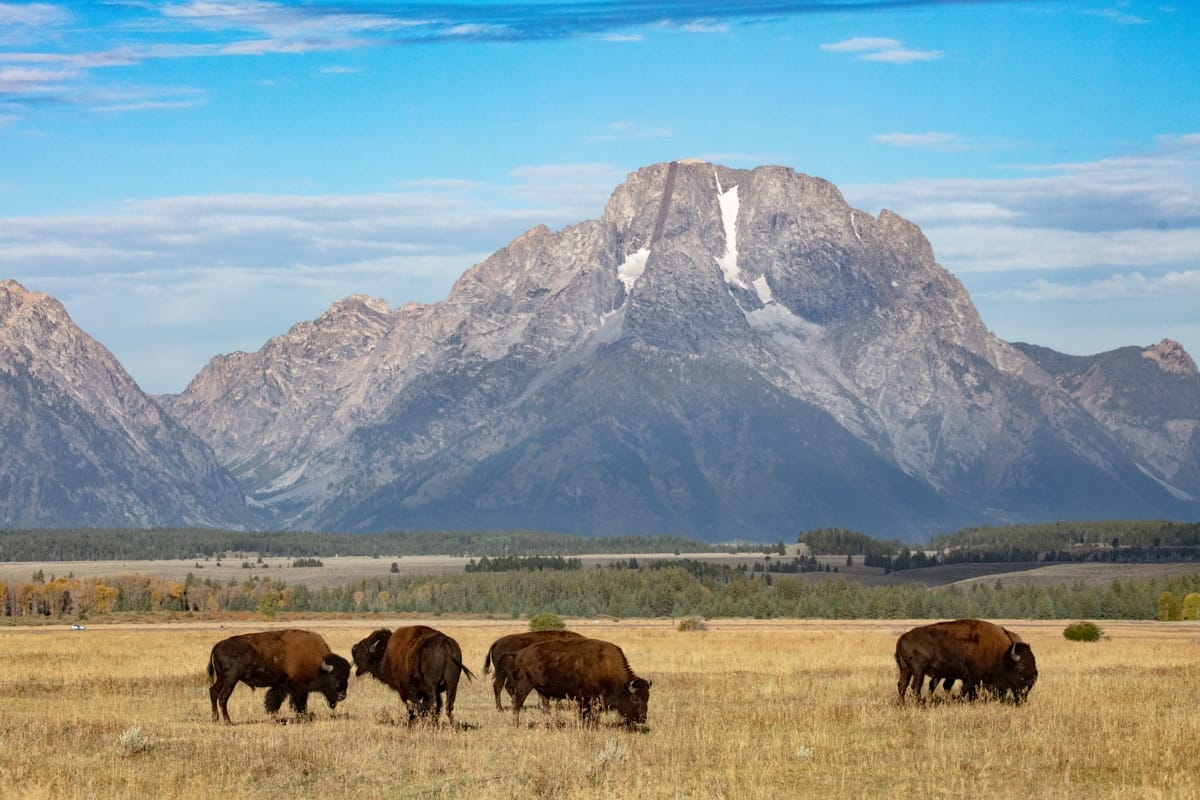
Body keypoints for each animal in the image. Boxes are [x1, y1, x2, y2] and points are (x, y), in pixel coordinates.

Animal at [204, 633, 348, 724]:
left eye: (347, 676)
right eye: (335, 677)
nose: (342, 696)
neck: (317, 663)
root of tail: (218, 645)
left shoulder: (281, 686)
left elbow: (274, 702)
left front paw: (273, 717)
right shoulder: (300, 688)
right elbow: (300, 704)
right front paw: (304, 718)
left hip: (221, 678)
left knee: (213, 692)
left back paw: (215, 719)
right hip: (230, 680)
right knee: (223, 698)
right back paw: (228, 721)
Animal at [504, 633, 657, 729]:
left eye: (647, 698)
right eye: (635, 699)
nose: (642, 718)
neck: (605, 666)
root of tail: (520, 654)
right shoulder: (588, 698)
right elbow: (588, 715)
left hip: (540, 689)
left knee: (544, 707)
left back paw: (552, 724)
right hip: (524, 685)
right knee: (517, 704)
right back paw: (516, 725)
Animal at [897, 623, 1036, 705]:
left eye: (1034, 662)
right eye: (1021, 666)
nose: (1032, 680)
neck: (1002, 655)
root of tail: (902, 638)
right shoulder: (972, 678)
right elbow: (968, 691)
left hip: (905, 669)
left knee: (902, 685)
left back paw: (902, 704)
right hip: (918, 670)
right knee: (915, 686)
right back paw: (919, 703)